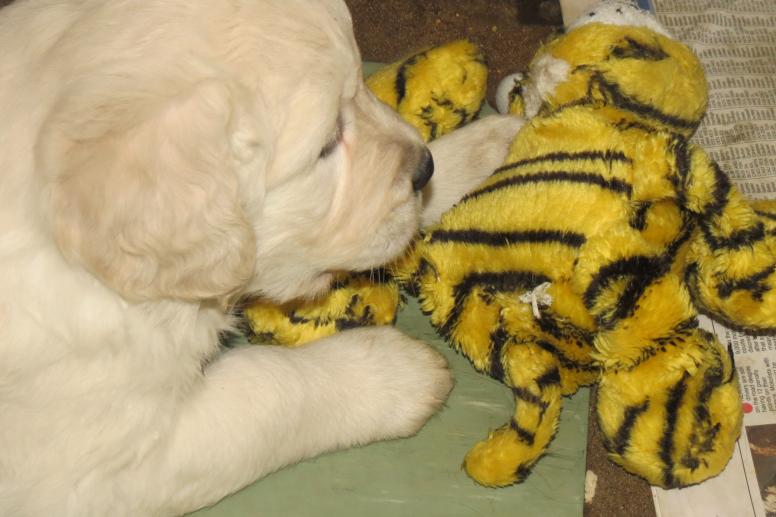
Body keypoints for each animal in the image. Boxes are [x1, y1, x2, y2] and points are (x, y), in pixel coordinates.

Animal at [0, 0, 520, 512]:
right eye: (325, 145)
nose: (422, 170)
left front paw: (487, 154)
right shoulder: (101, 470)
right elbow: (267, 384)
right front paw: (394, 372)